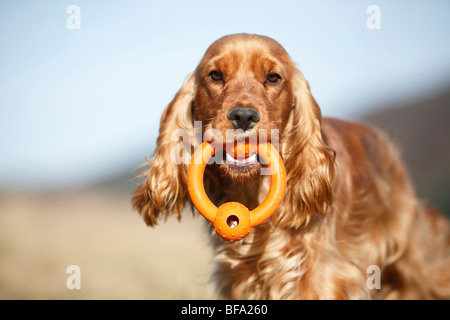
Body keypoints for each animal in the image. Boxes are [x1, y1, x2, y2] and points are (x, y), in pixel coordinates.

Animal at [132, 33, 450, 298]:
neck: (252, 194)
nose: (244, 116)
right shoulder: (239, 279)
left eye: (274, 78)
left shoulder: (318, 278)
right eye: (215, 75)